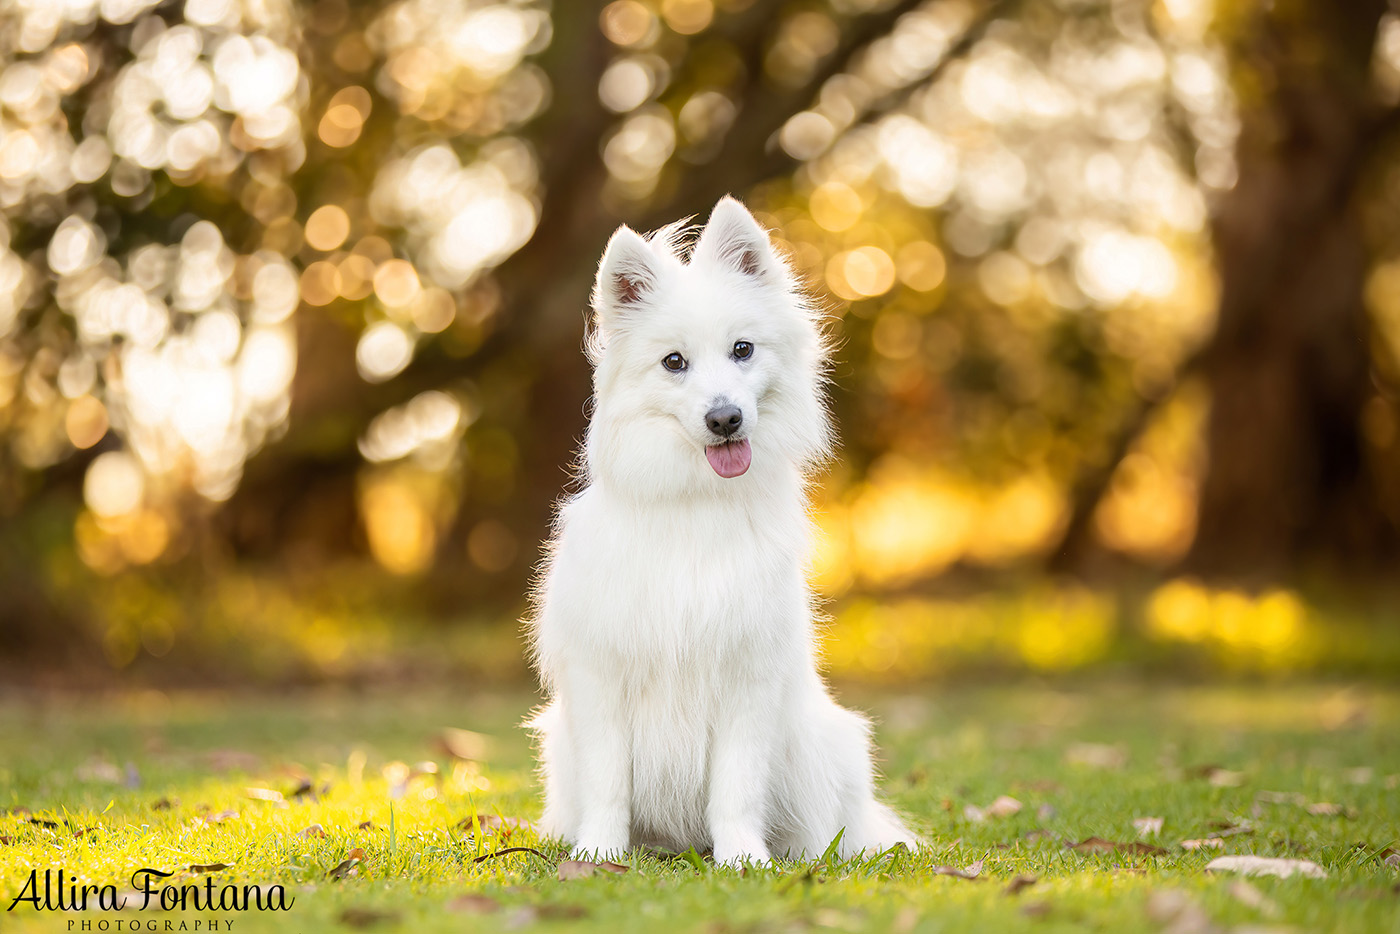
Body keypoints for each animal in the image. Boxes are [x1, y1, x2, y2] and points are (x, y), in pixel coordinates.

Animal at [526, 193, 918, 868]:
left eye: (742, 350)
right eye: (674, 362)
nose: (725, 418)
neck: (696, 505)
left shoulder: (746, 680)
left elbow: (735, 787)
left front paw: (742, 858)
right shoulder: (603, 679)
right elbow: (609, 785)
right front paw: (600, 854)